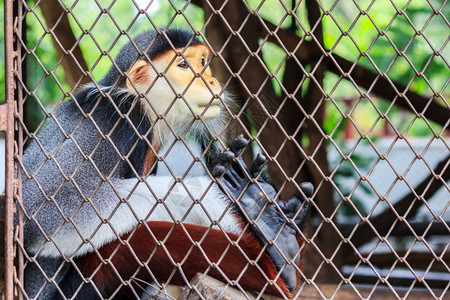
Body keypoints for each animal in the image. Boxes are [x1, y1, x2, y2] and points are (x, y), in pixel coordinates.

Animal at [20, 28, 310, 300]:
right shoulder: (114, 118)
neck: (142, 106)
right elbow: (39, 210)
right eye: (183, 65)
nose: (211, 80)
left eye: (202, 62)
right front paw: (221, 200)